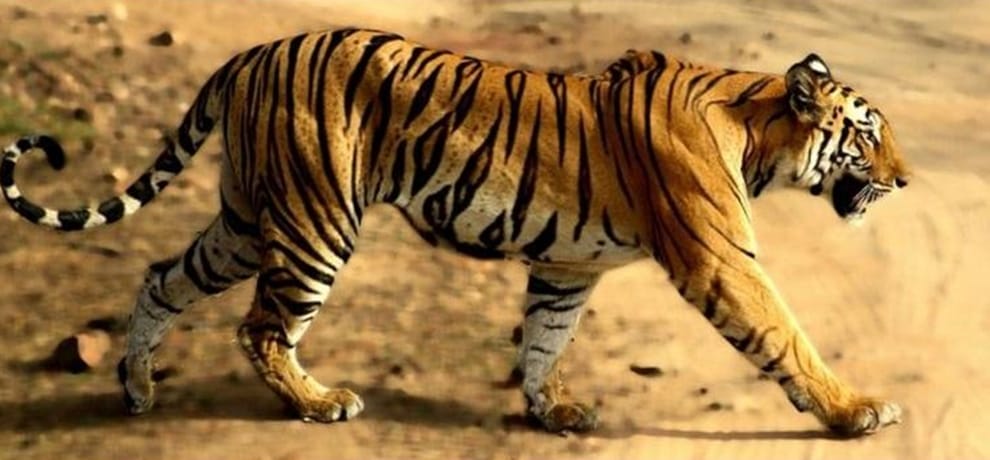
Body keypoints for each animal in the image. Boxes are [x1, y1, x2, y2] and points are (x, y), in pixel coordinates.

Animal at [1, 28, 910, 436]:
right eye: (868, 135)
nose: (905, 181)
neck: (761, 133)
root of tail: (253, 51)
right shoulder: (722, 259)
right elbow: (786, 336)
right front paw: (856, 410)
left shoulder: (568, 267)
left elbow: (544, 337)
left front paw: (552, 410)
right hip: (315, 219)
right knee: (261, 328)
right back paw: (319, 402)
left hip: (246, 219)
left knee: (162, 275)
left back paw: (136, 388)